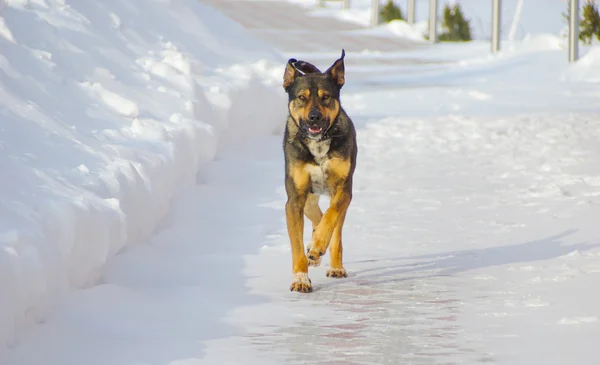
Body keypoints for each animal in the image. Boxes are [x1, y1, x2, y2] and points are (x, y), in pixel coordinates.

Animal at [282, 49, 356, 292]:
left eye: (326, 97)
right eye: (301, 97)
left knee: (335, 227)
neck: (318, 143)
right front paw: (300, 278)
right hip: (308, 198)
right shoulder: (295, 198)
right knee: (317, 214)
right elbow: (296, 245)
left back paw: (332, 262)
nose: (314, 117)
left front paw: (317, 246)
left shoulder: (343, 189)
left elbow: (332, 217)